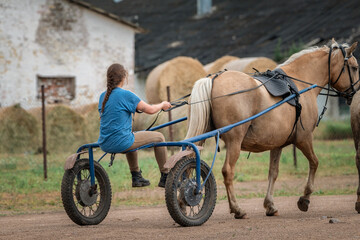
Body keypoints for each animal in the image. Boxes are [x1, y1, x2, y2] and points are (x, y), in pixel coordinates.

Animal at [184, 39, 358, 219]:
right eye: (354, 67)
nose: (355, 91)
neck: (300, 82)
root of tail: (213, 79)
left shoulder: (277, 145)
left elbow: (273, 173)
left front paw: (270, 205)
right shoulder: (304, 138)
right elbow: (315, 162)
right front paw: (305, 198)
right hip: (234, 143)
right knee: (228, 171)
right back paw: (237, 209)